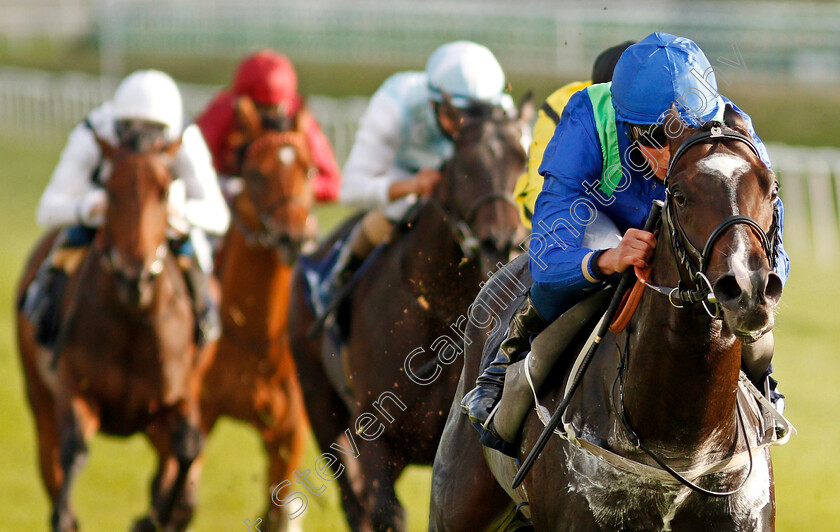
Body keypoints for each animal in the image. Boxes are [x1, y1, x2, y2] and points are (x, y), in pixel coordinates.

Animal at [16, 138, 212, 532]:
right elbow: (74, 450)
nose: (135, 276)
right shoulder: (75, 386)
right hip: (40, 397)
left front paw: (159, 515)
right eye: (109, 189)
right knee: (50, 457)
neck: (132, 322)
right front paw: (65, 515)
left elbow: (188, 446)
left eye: (164, 190)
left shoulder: (180, 392)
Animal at [199, 102, 314, 528]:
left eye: (308, 169)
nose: (292, 238)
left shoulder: (289, 430)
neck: (255, 337)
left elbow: (278, 509)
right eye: (255, 174)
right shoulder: (200, 412)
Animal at [290, 96, 532, 532]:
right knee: (354, 503)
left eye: (522, 160)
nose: (501, 240)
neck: (439, 311)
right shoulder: (376, 439)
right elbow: (387, 513)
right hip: (320, 406)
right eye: (462, 163)